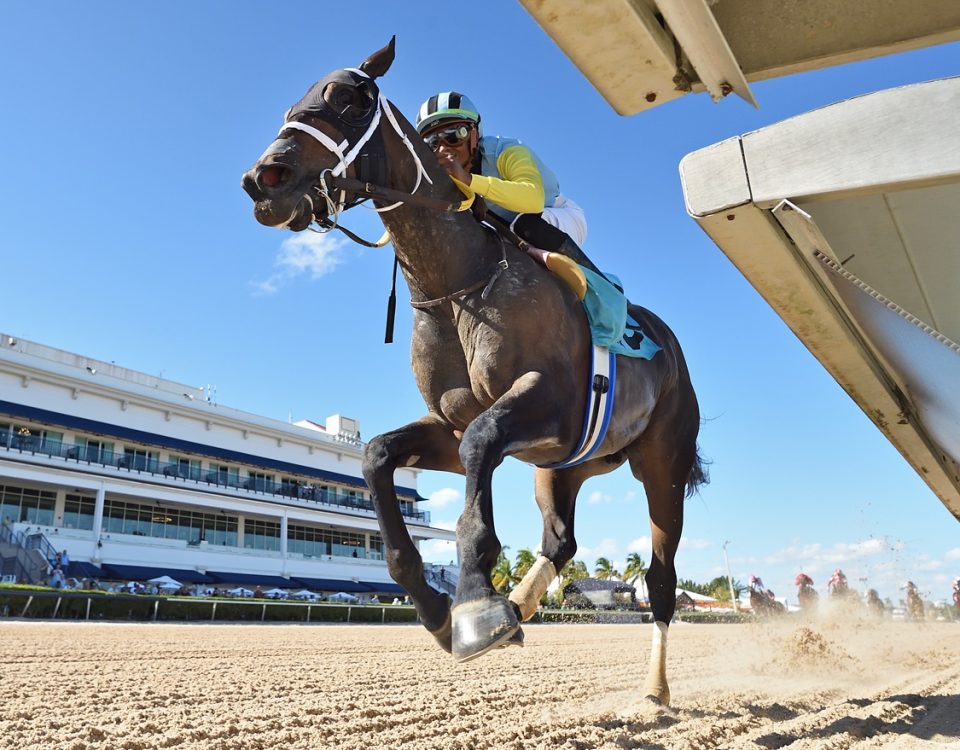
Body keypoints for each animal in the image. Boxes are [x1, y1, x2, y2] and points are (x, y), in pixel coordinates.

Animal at [240, 38, 704, 708]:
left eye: (351, 98)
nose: (263, 180)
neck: (457, 282)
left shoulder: (546, 405)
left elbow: (482, 447)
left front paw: (478, 604)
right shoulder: (452, 426)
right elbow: (379, 453)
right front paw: (441, 610)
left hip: (661, 462)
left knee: (661, 576)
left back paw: (654, 688)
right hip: (564, 466)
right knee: (560, 539)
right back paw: (522, 605)